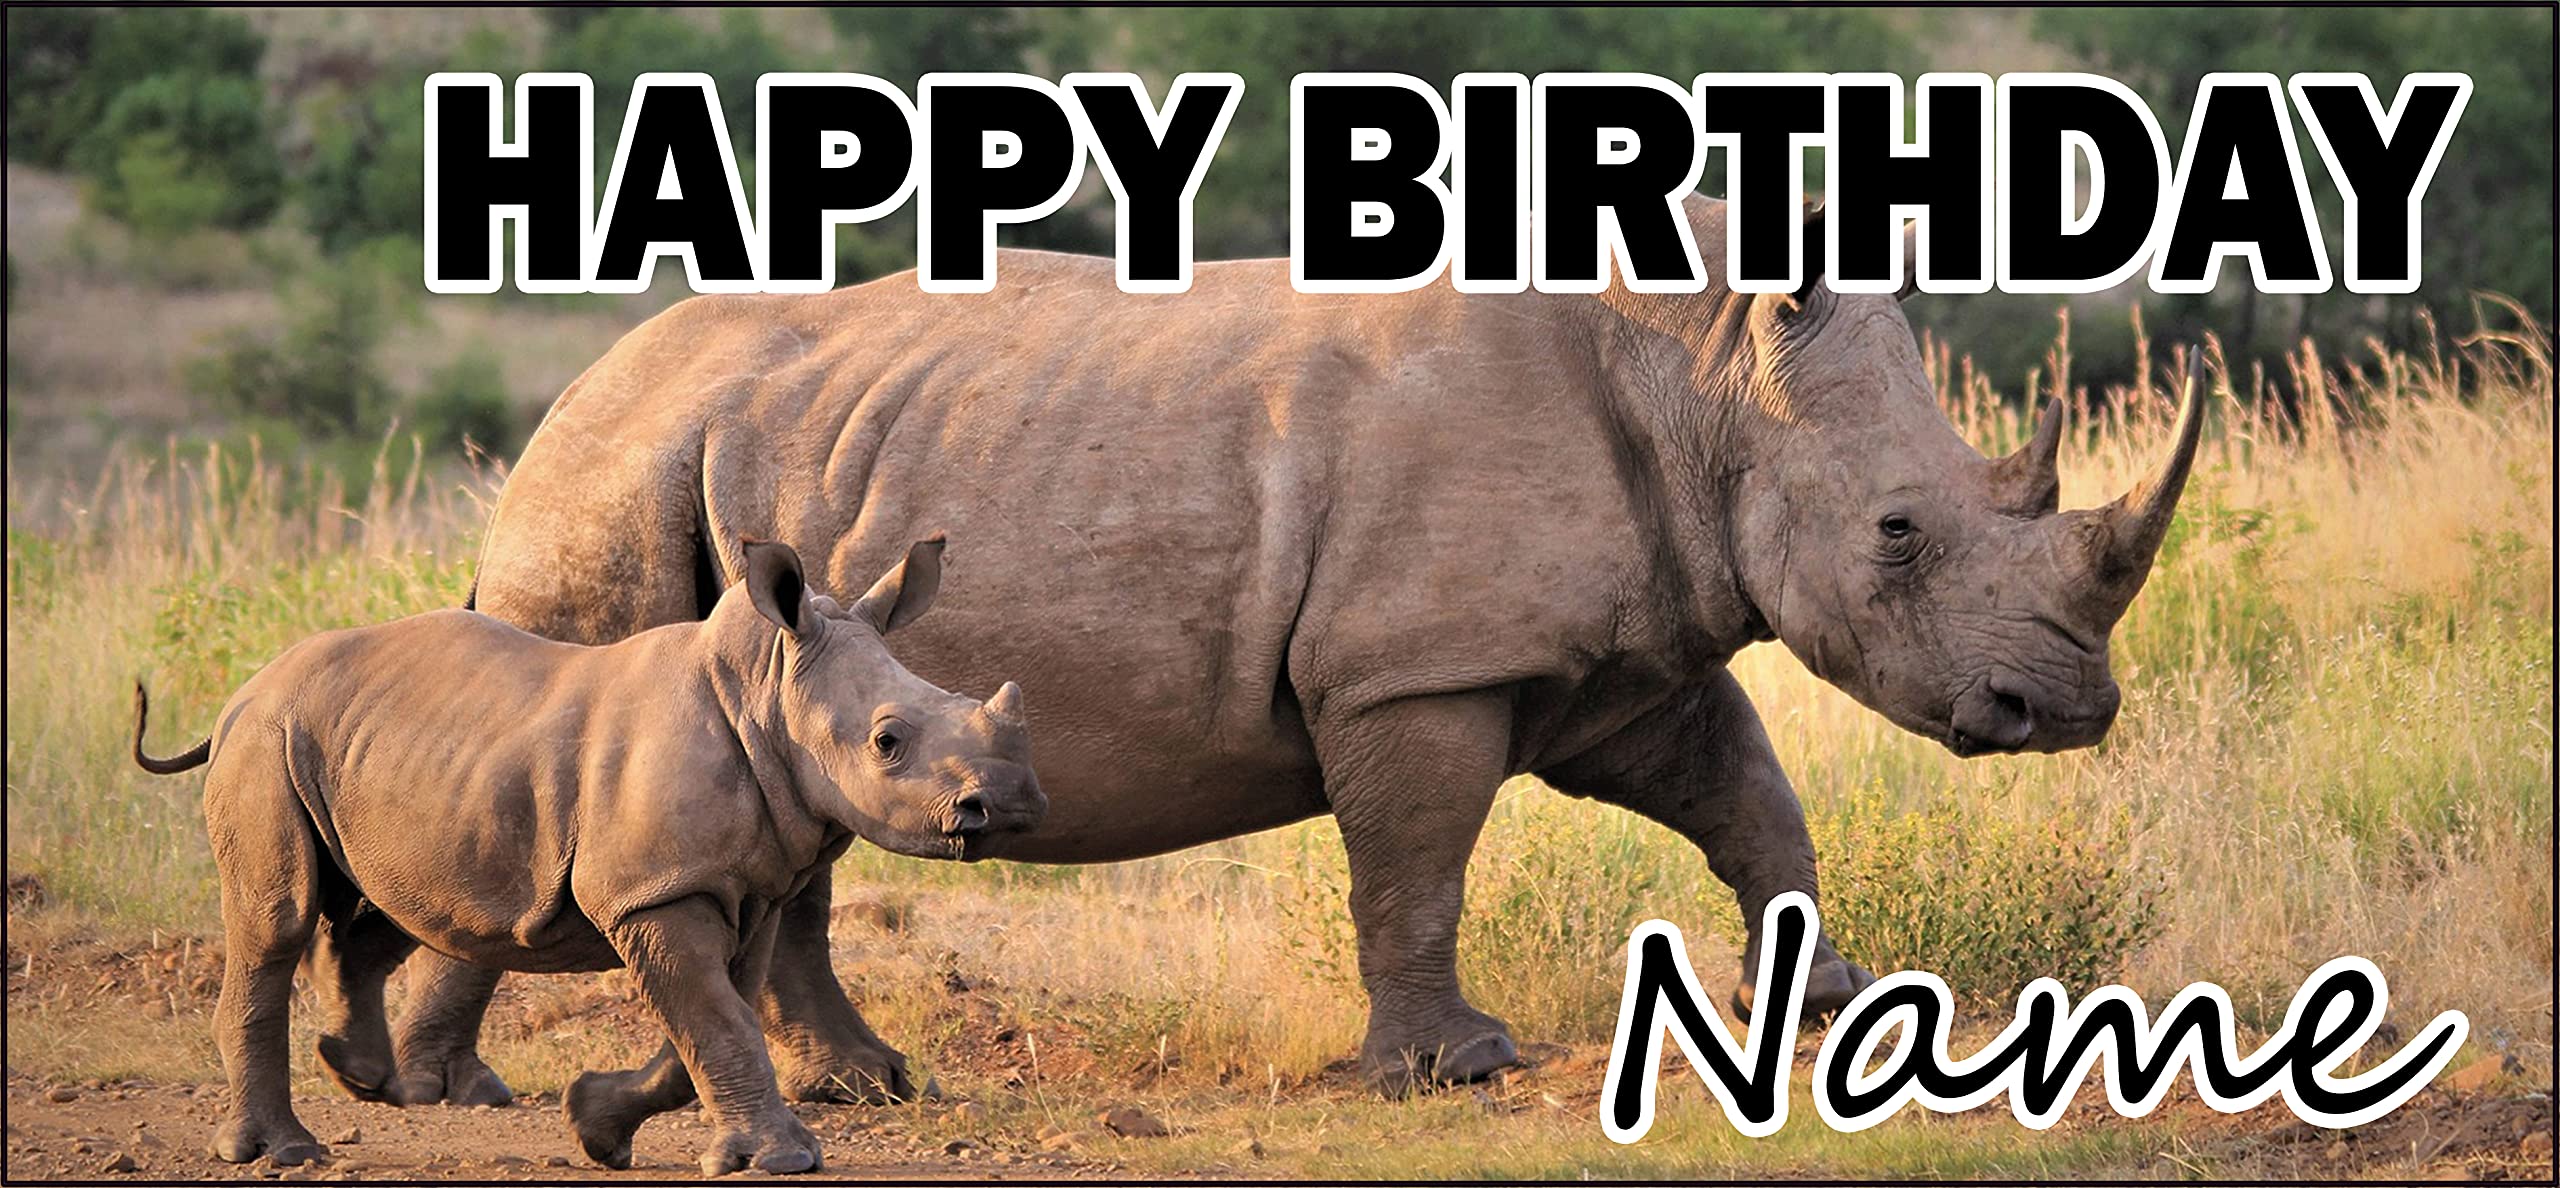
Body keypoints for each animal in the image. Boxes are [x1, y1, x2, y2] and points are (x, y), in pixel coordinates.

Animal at [133, 539, 1044, 1174]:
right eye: (888, 743)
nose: (1012, 803)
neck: (767, 689)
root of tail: (242, 692)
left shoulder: (741, 888)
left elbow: (713, 1023)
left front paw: (595, 1126)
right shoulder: (655, 892)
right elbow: (717, 1021)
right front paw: (786, 1159)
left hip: (370, 753)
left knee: (394, 903)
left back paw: (361, 1077)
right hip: (266, 740)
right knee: (278, 920)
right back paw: (286, 1152)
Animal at [373, 195, 2200, 1100]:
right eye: (1899, 532)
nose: (2066, 706)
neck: (1702, 374)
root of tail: (569, 397)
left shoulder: (1626, 645)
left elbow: (1749, 797)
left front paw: (1821, 1014)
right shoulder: (1416, 662)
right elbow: (1417, 862)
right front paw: (1451, 1073)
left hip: (752, 476)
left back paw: (866, 1090)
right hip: (615, 480)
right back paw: (443, 1095)